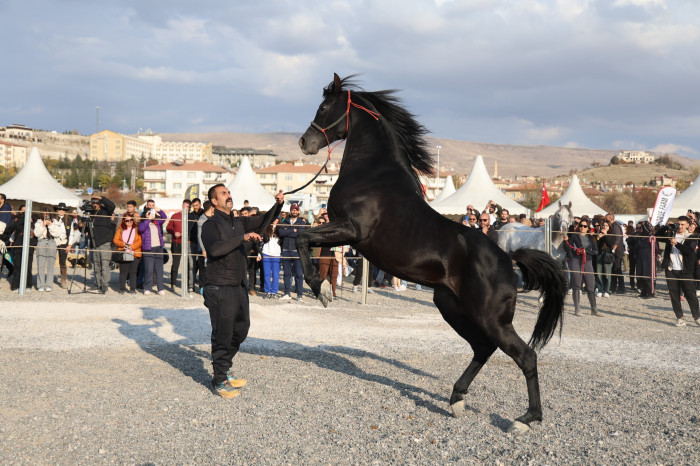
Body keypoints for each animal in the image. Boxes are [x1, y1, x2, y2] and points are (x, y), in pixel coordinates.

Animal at [296, 73, 568, 434]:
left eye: (325, 107)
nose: (305, 142)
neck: (372, 174)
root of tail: (506, 260)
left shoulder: (351, 229)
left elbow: (300, 238)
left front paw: (322, 290)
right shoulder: (342, 231)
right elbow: (310, 243)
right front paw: (324, 288)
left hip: (488, 317)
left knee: (524, 355)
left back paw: (525, 419)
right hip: (451, 306)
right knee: (483, 348)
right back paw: (456, 400)